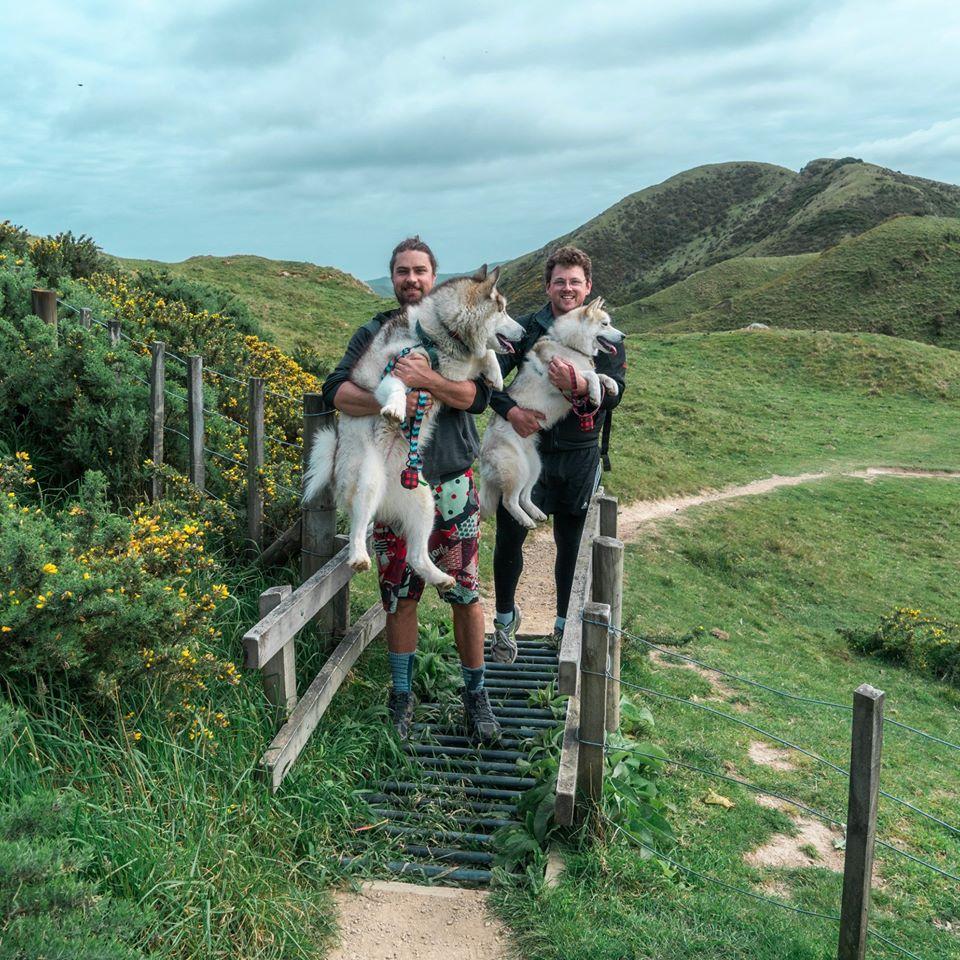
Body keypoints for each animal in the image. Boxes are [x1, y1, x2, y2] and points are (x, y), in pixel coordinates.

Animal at [304, 266, 520, 588]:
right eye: (503, 310)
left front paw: (495, 375)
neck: (442, 334)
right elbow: (394, 387)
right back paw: (358, 555)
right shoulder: (400, 365)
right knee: (357, 525)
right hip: (368, 479)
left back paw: (440, 577)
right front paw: (395, 408)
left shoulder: (459, 370)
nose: (524, 332)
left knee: (416, 556)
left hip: (424, 502)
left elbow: (485, 356)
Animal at [478, 298, 624, 528]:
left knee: (524, 496)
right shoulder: (560, 378)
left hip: (535, 467)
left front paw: (610, 386)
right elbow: (589, 375)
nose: (623, 337)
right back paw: (525, 520)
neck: (569, 345)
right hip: (518, 469)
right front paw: (594, 393)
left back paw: (535, 513)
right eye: (605, 324)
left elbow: (598, 374)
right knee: (510, 500)